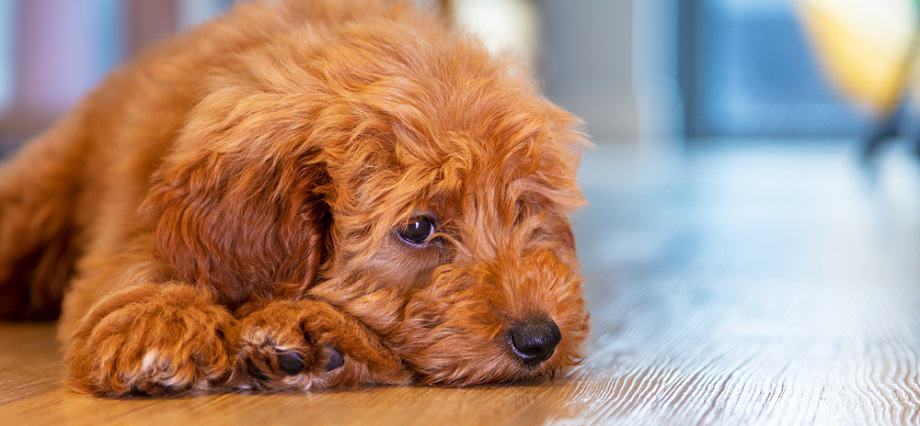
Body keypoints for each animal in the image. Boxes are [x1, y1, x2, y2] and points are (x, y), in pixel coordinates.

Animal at [0, 0, 588, 396]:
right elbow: (137, 262)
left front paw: (318, 336)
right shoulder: (136, 217)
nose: (540, 338)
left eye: (521, 210)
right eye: (418, 228)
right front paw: (158, 321)